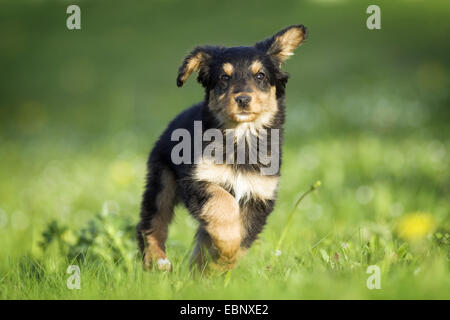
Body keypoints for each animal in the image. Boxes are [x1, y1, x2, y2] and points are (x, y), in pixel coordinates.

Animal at [135, 23, 308, 272]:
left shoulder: (259, 196)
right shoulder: (198, 180)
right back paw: (157, 261)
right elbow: (223, 205)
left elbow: (241, 239)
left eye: (260, 76)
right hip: (162, 179)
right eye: (224, 77)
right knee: (152, 221)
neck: (241, 137)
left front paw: (217, 266)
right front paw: (223, 250)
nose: (243, 99)